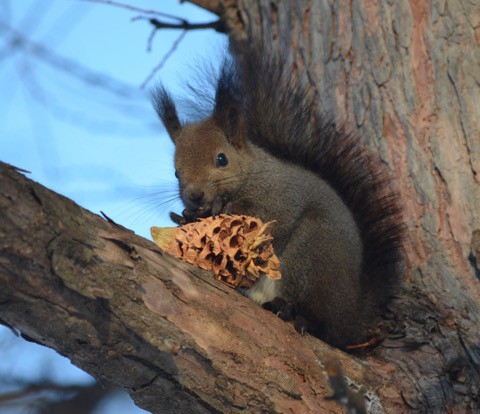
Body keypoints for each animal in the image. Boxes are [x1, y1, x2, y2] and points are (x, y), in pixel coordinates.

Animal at [152, 42, 404, 350]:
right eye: (176, 173)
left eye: (222, 159)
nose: (195, 196)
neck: (253, 173)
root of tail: (353, 315)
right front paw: (185, 219)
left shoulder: (281, 197)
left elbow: (272, 219)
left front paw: (219, 208)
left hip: (312, 251)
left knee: (324, 325)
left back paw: (297, 315)